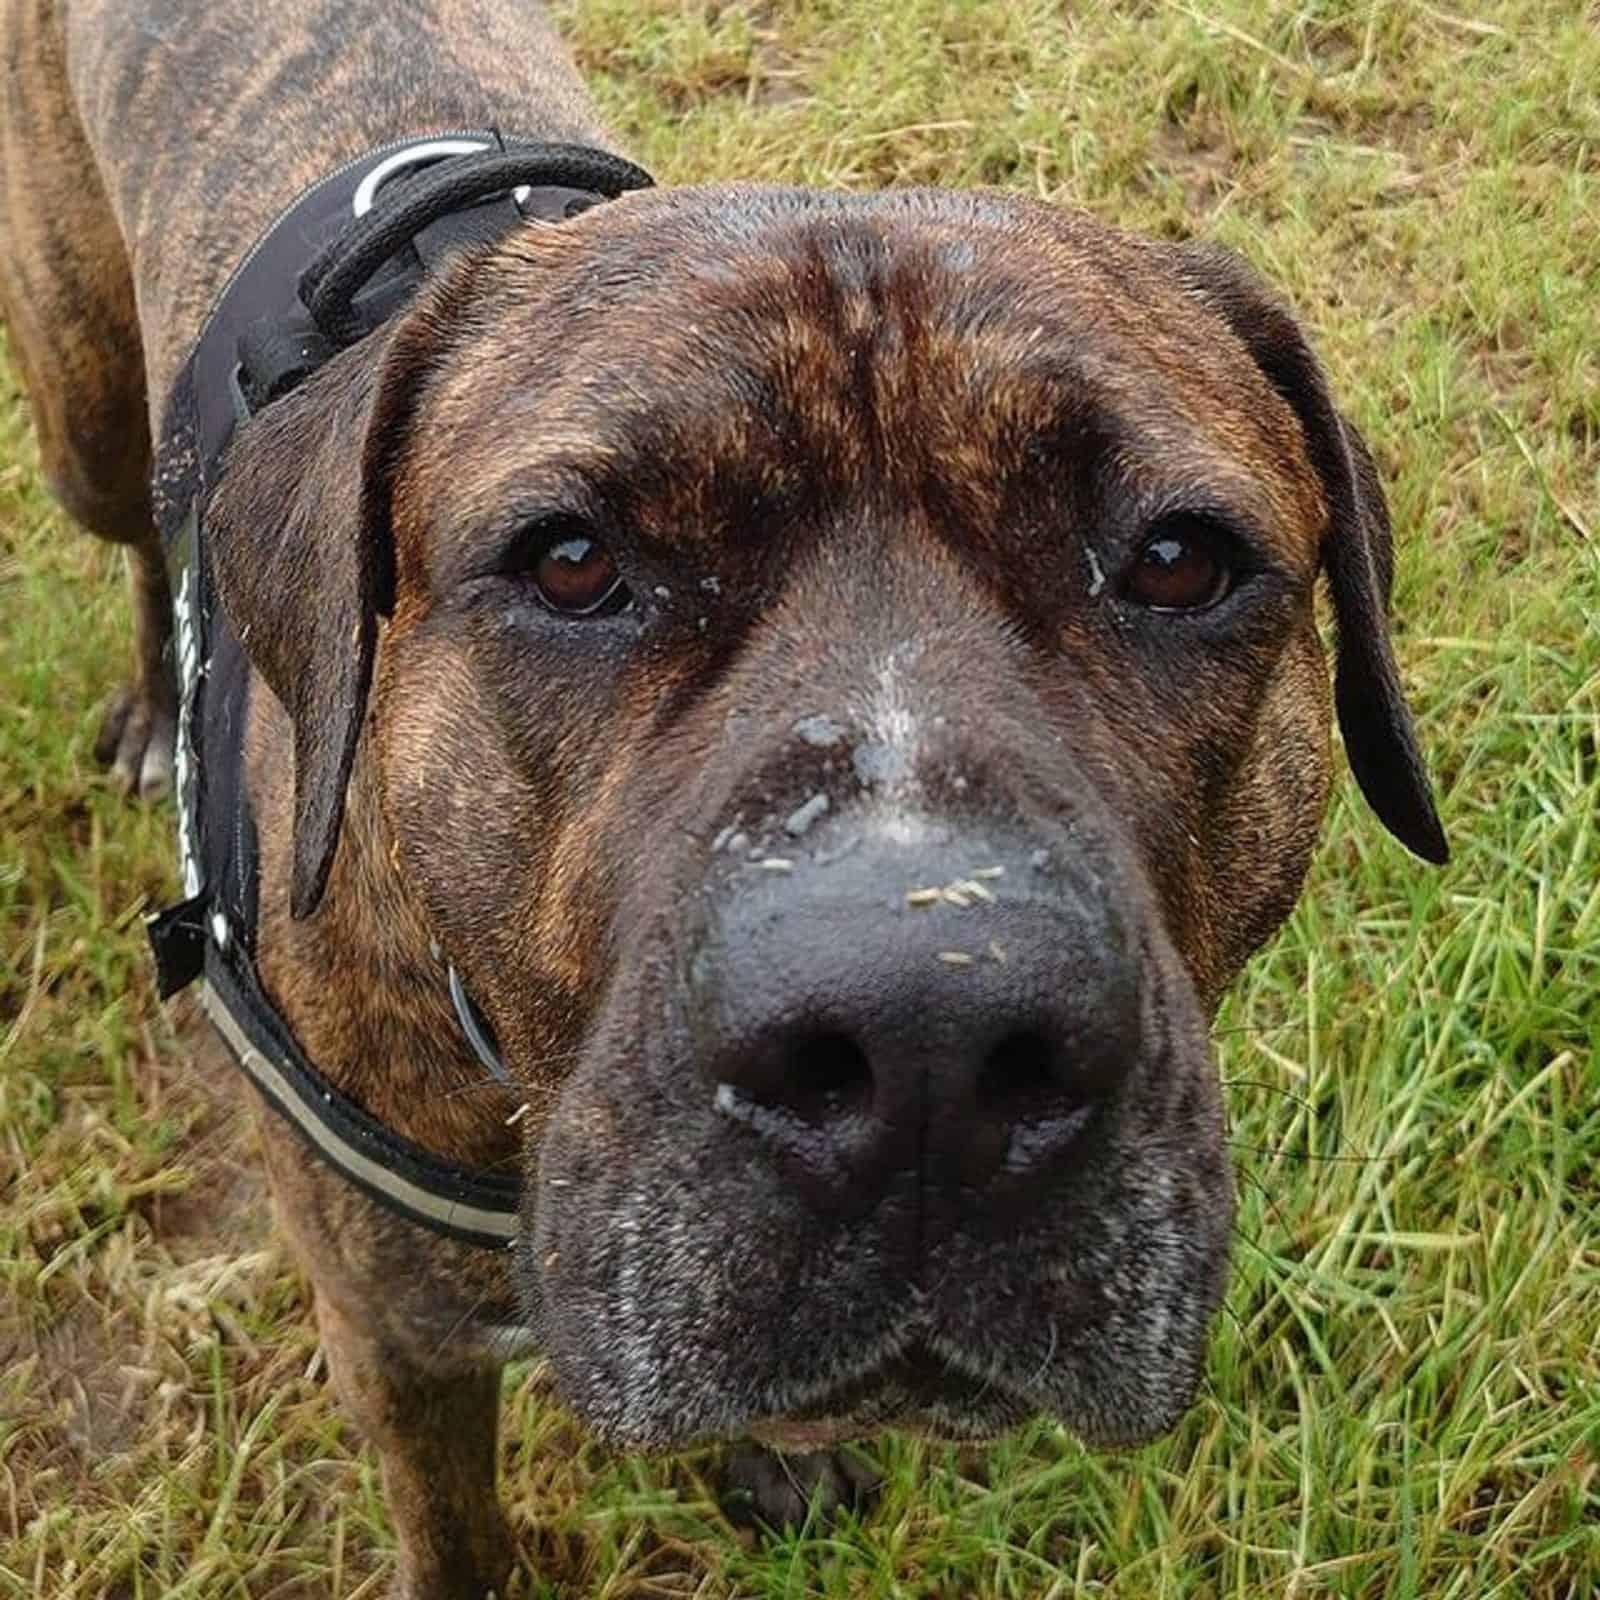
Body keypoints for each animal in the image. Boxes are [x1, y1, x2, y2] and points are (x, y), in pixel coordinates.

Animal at [3, 0, 1452, 1593]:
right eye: (572, 563)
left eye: (1180, 561)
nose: (930, 1042)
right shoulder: (397, 1347)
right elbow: (457, 1536)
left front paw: (779, 1453)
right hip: (85, 417)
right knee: (141, 534)